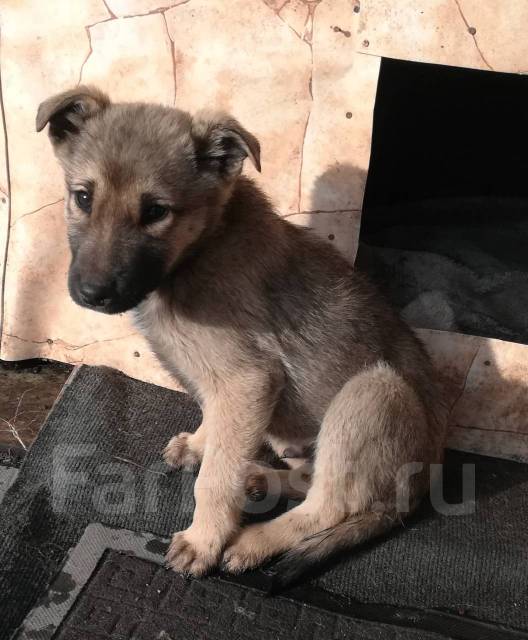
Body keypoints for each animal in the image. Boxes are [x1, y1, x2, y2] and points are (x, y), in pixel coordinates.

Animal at [37, 86, 448, 583]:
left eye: (155, 212)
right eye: (82, 197)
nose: (92, 294)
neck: (200, 250)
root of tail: (420, 487)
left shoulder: (246, 379)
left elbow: (216, 479)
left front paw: (204, 540)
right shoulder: (230, 387)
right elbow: (217, 432)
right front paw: (200, 445)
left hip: (373, 393)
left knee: (330, 507)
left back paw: (255, 540)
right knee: (314, 481)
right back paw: (259, 479)